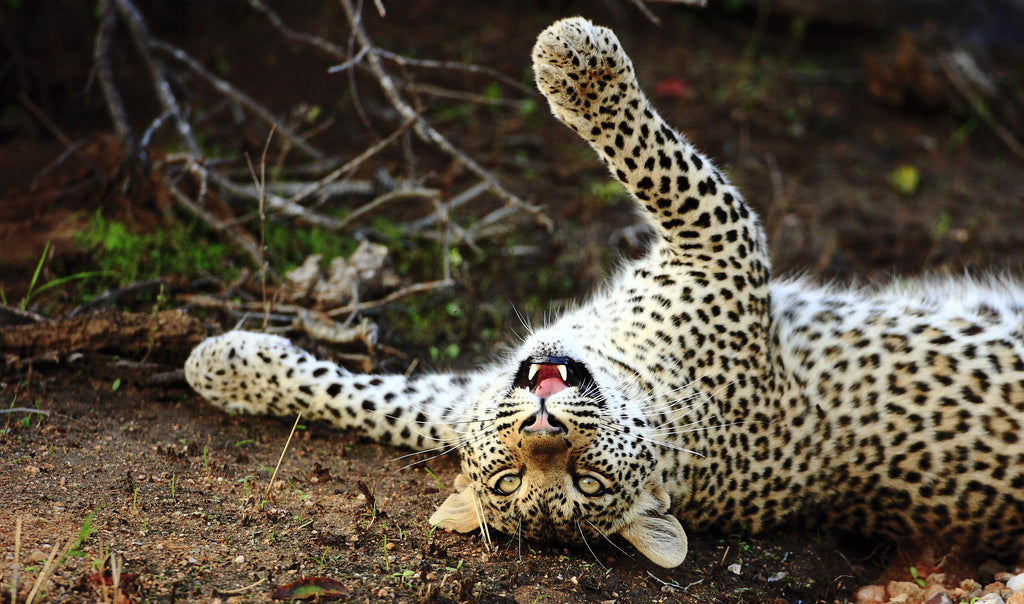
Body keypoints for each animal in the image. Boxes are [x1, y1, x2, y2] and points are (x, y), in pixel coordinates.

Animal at [185, 17, 1024, 568]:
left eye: (585, 478)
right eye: (512, 477)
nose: (544, 424)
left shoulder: (718, 242)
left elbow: (654, 161)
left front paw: (577, 63)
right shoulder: (469, 397)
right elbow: (370, 401)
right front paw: (228, 367)